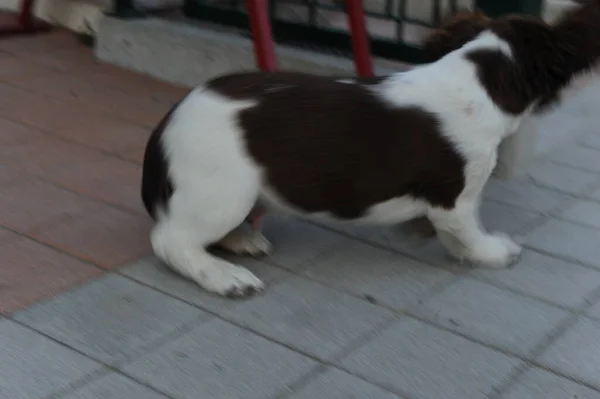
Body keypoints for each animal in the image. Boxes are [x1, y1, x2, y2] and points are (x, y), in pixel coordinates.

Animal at [142, 1, 600, 298]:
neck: (479, 77)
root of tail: (168, 121)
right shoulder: (456, 197)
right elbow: (469, 231)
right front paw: (493, 252)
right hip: (223, 191)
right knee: (171, 240)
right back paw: (225, 277)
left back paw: (241, 241)